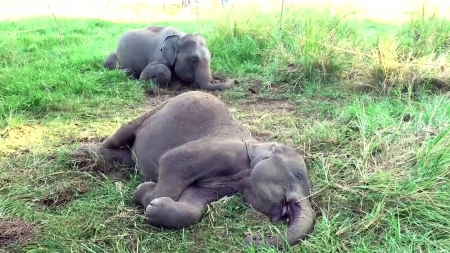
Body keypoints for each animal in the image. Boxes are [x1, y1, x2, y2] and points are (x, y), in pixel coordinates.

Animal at [75, 91, 314, 249]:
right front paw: (147, 196)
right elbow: (172, 161)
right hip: (154, 111)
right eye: (298, 175)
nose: (250, 237)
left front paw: (153, 205)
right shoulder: (221, 151)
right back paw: (82, 154)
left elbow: (194, 204)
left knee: (127, 158)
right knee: (122, 133)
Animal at [104, 24, 232, 91]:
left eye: (210, 57)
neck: (179, 37)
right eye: (193, 60)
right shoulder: (160, 56)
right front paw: (151, 82)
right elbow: (150, 71)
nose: (234, 80)